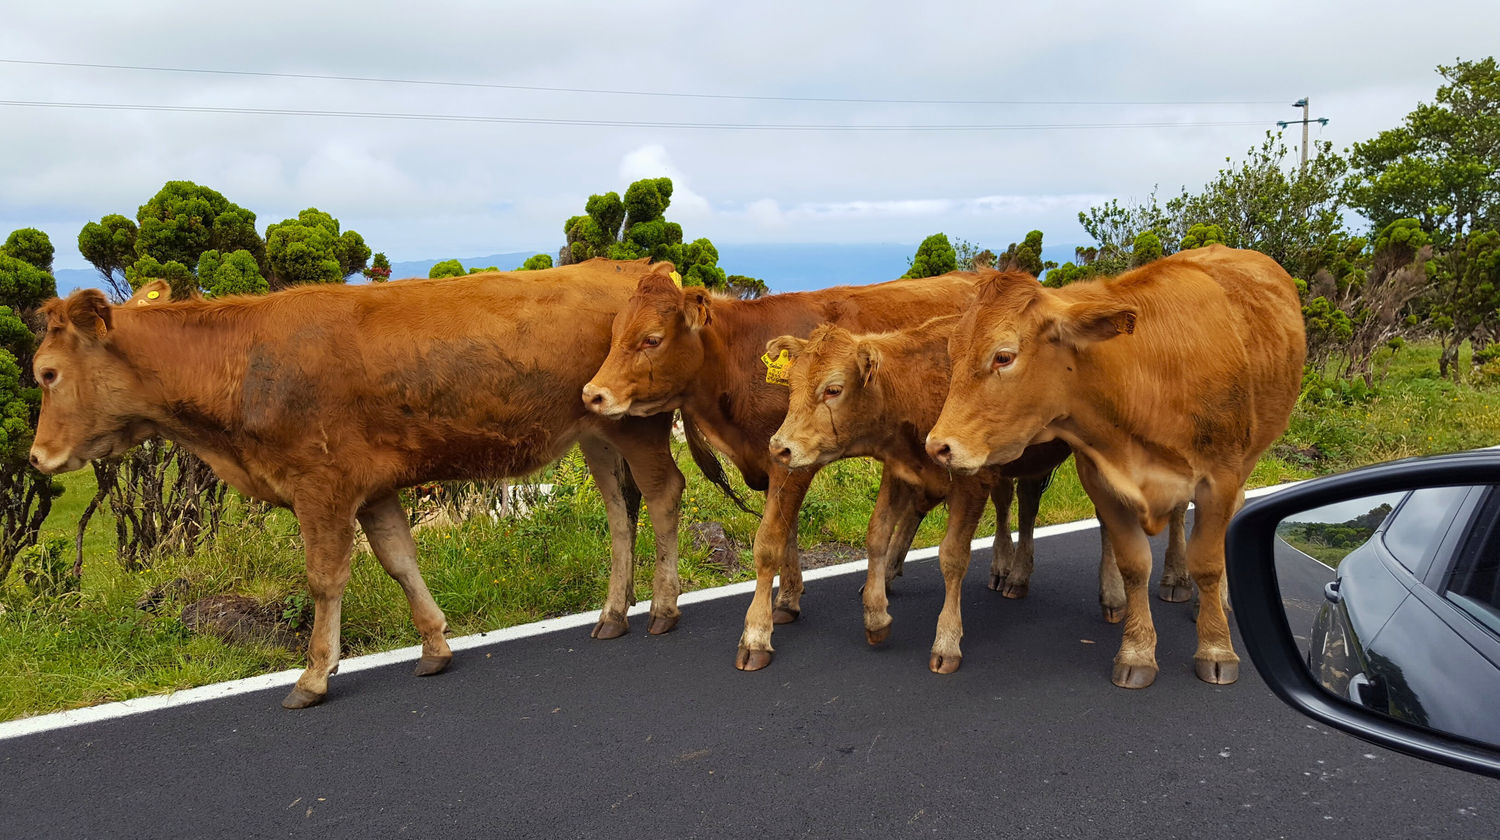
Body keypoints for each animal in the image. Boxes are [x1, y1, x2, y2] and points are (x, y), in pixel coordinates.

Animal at [29, 259, 688, 709]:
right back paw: (612, 614)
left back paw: (661, 608)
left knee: (663, 496)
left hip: (639, 429)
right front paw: (434, 646)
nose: (37, 457)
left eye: (47, 373)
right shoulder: (373, 487)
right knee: (619, 512)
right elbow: (399, 561)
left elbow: (324, 579)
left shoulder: (321, 485)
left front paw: (315, 675)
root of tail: (629, 268)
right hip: (596, 433)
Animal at [582, 270, 1006, 671]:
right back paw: (887, 576)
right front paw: (786, 602)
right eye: (615, 333)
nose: (592, 394)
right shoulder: (780, 455)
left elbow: (769, 542)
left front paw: (756, 634)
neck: (740, 359)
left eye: (651, 339)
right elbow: (787, 532)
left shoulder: (792, 463)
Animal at [926, 246, 1305, 689]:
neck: (1146, 380)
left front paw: (1215, 648)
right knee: (1178, 515)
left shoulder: (1220, 478)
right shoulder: (1102, 480)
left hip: (1247, 458)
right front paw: (1137, 652)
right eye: (952, 353)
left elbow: (1208, 563)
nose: (938, 446)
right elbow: (1134, 565)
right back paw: (1175, 578)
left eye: (1004, 356)